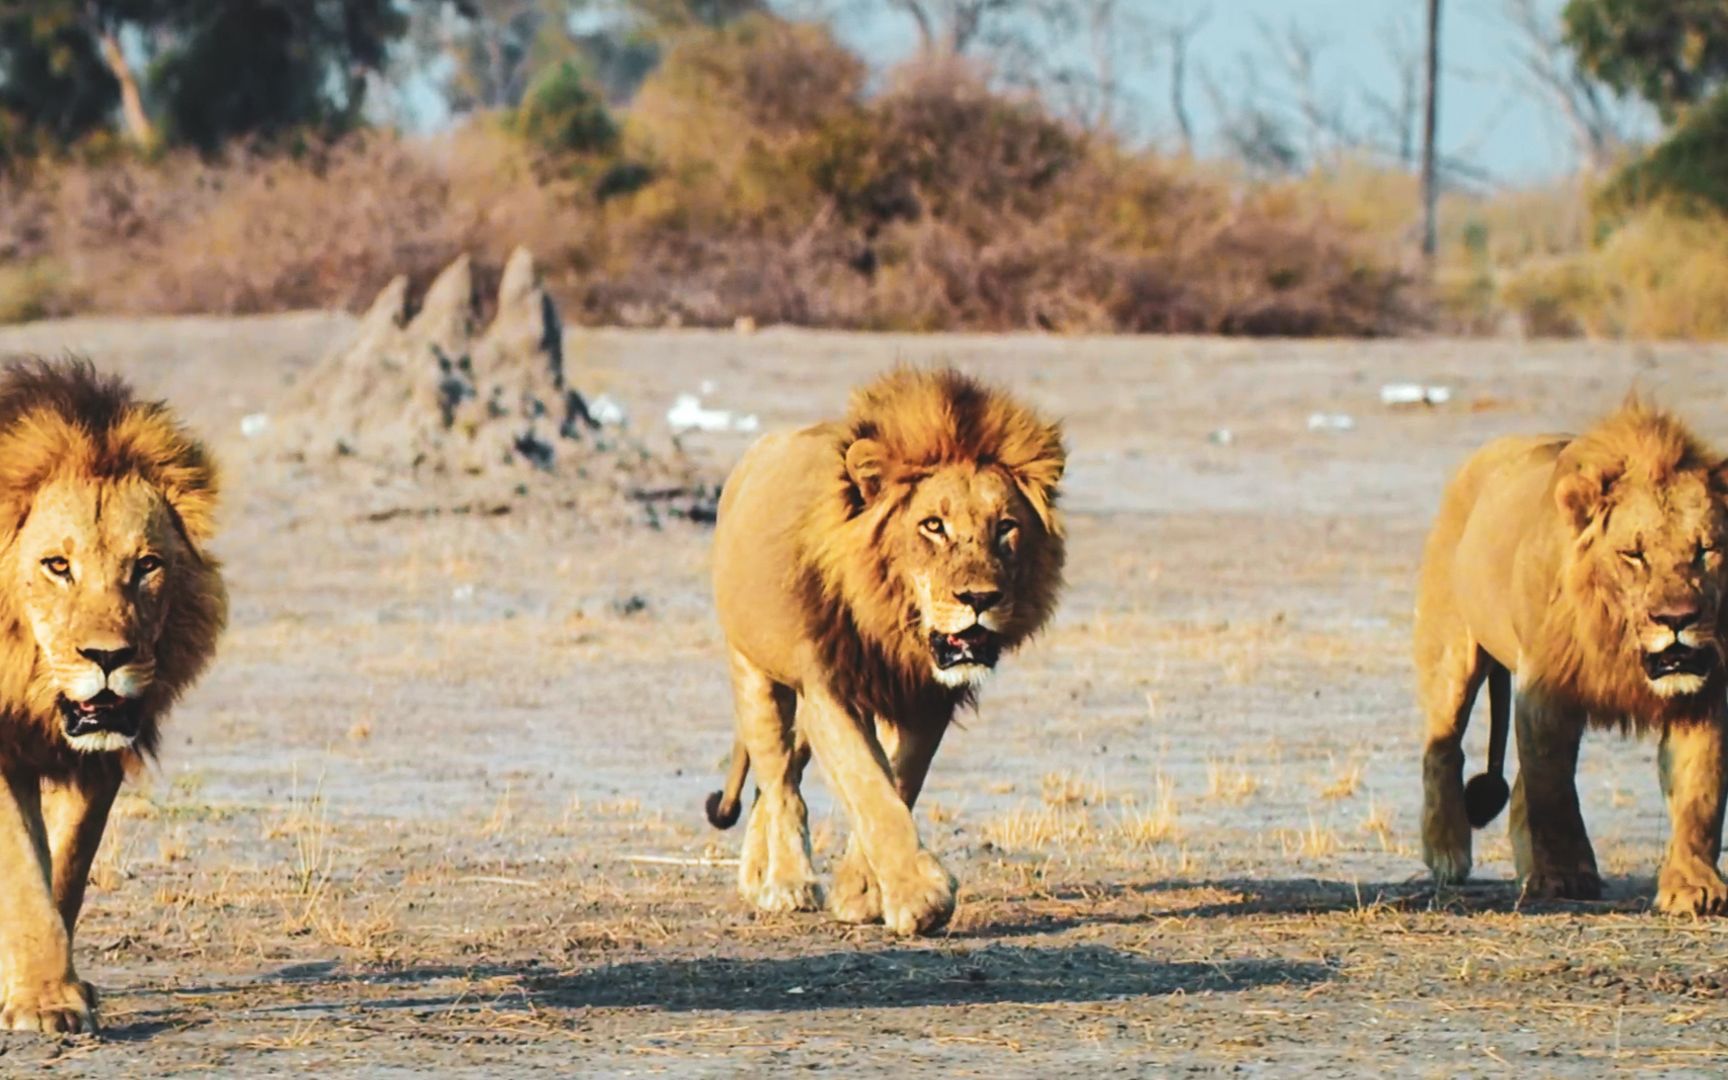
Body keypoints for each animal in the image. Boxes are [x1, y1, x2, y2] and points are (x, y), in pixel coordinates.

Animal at [0, 359, 226, 1029]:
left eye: (146, 565)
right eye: (57, 565)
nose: (108, 658)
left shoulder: (99, 758)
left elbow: (65, 868)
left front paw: (46, 989)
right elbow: (24, 870)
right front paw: (46, 1002)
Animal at [705, 366, 1057, 933]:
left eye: (1006, 526)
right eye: (933, 525)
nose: (980, 599)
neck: (893, 626)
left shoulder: (926, 700)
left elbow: (898, 783)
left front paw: (862, 892)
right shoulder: (828, 688)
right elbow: (869, 786)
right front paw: (921, 898)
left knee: (778, 778)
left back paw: (758, 877)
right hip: (755, 671)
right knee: (779, 781)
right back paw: (787, 883)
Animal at [1416, 395, 1728, 912]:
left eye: (1706, 550)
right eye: (1633, 554)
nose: (1678, 618)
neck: (1620, 642)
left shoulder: (1703, 695)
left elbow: (1700, 793)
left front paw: (1694, 886)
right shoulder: (1545, 691)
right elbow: (1554, 791)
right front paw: (1564, 878)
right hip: (1451, 652)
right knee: (1444, 748)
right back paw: (1446, 852)